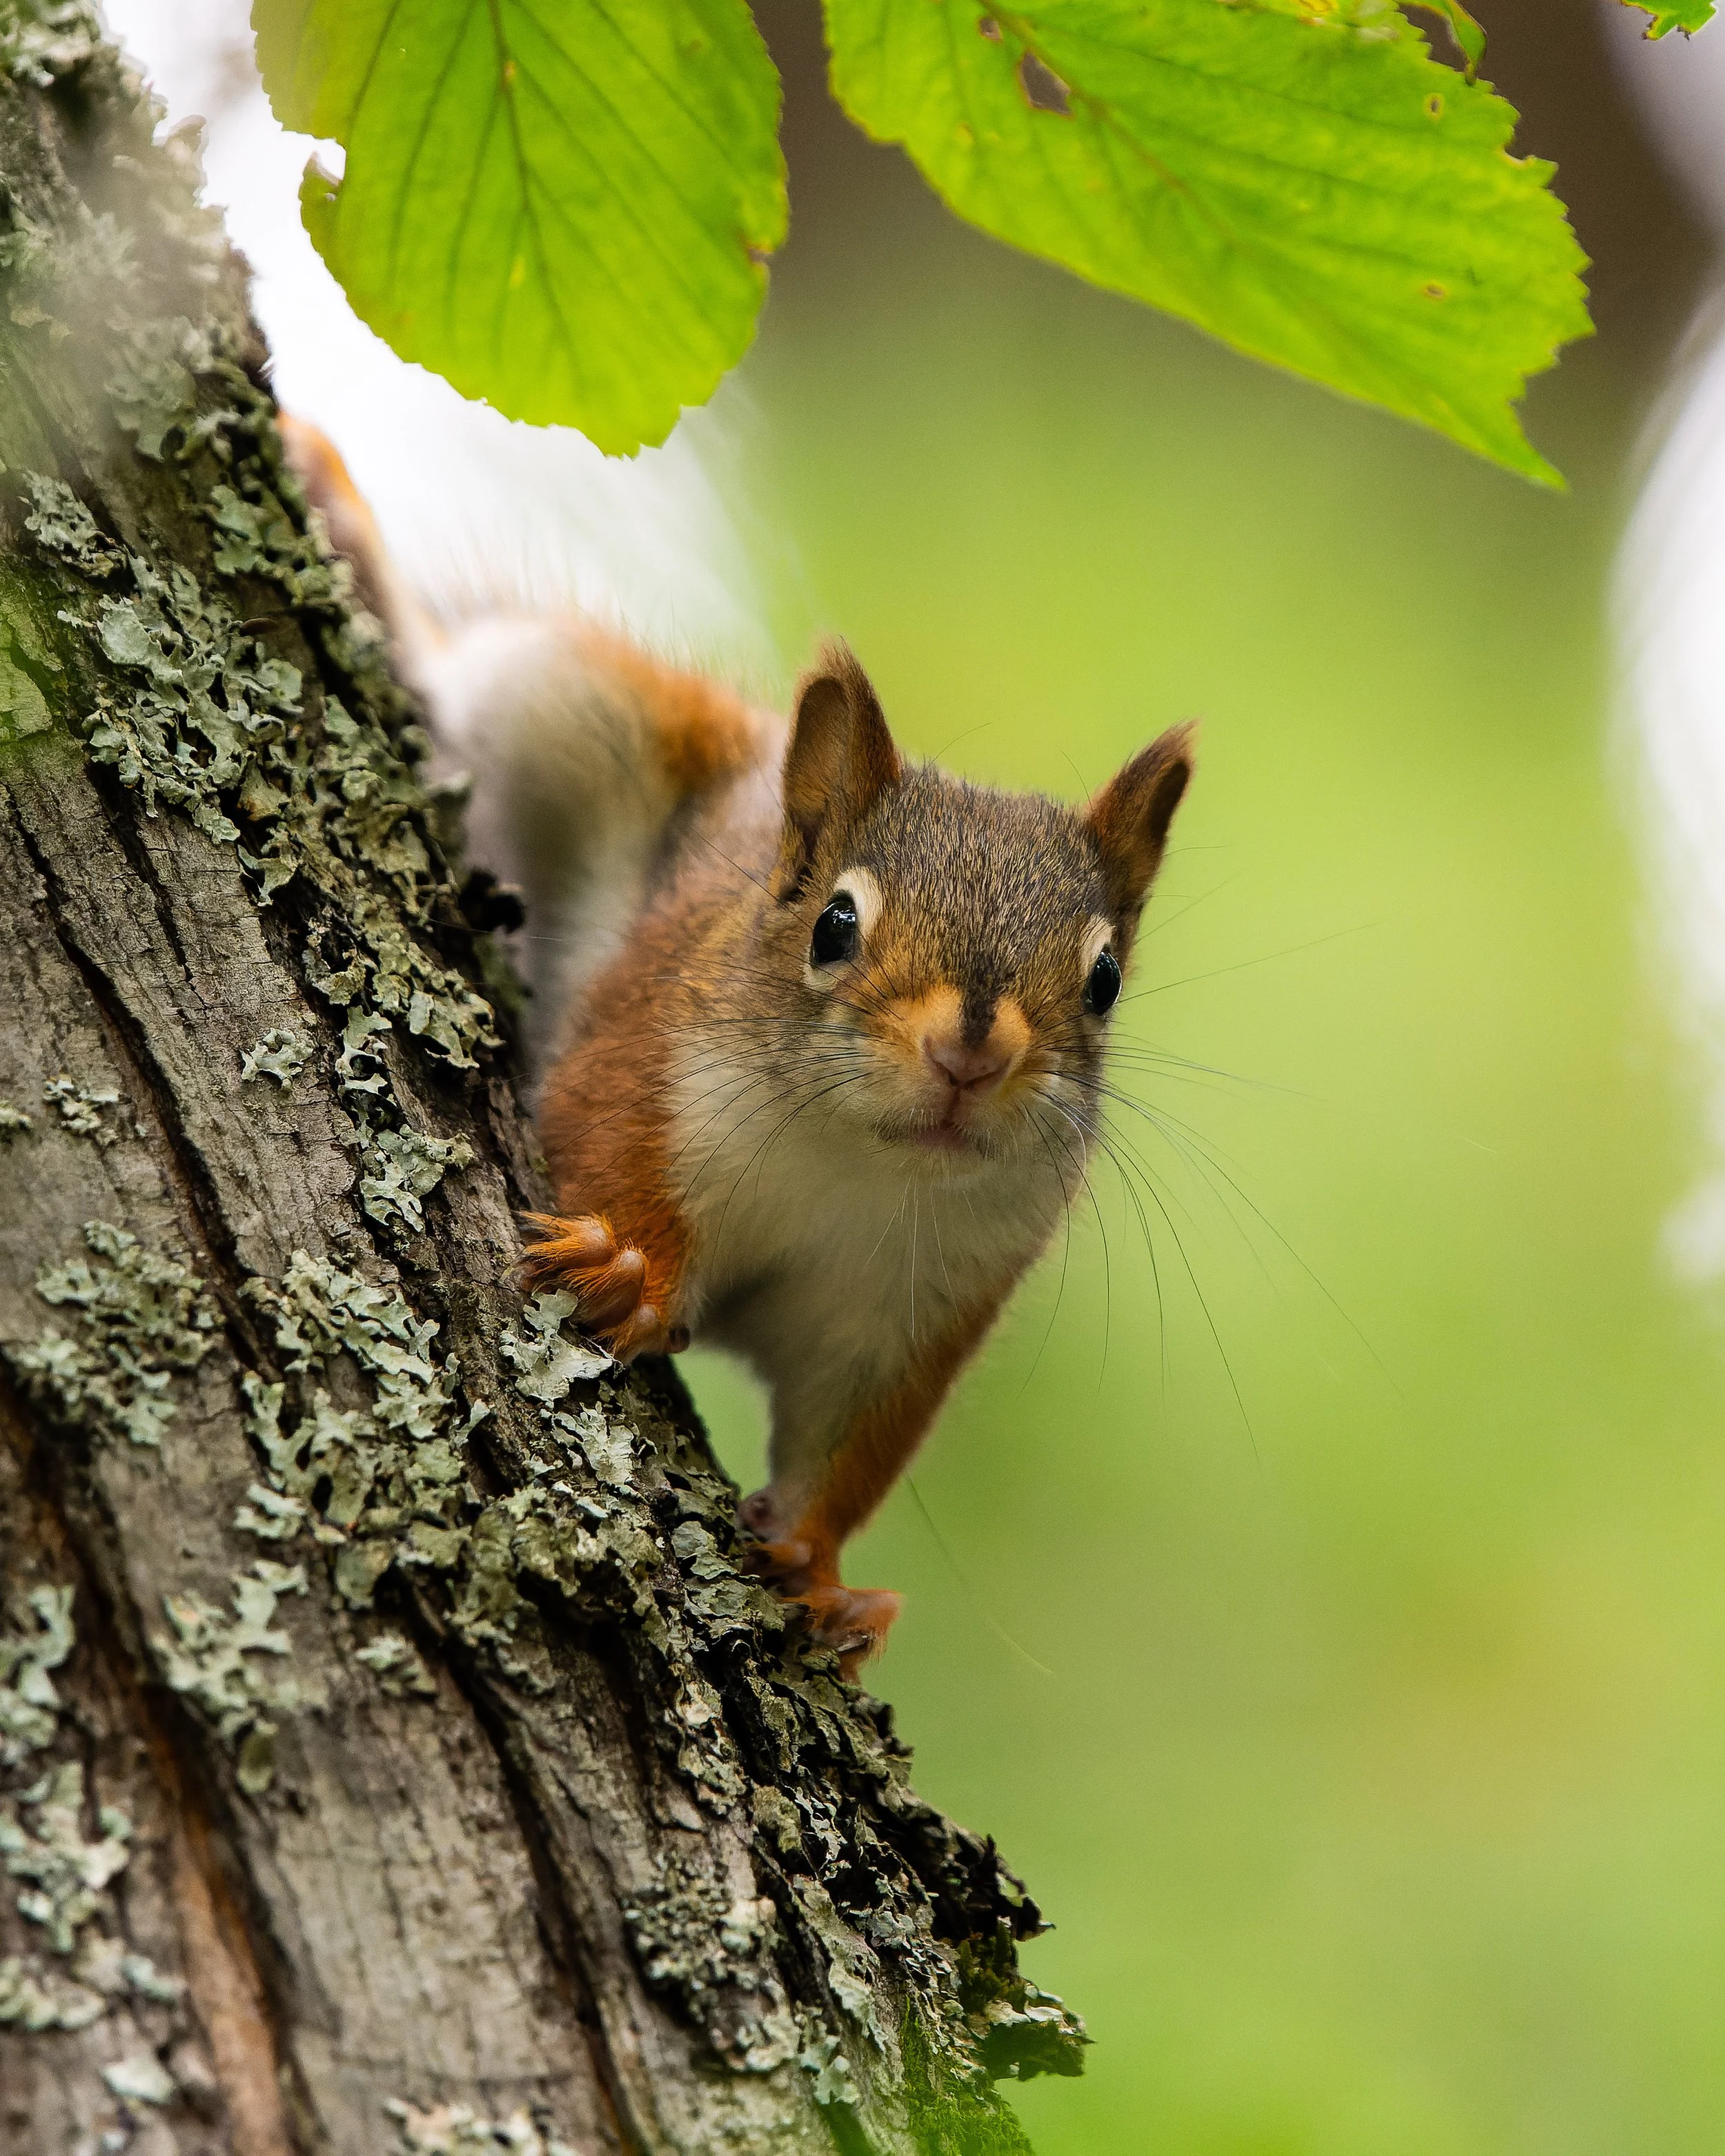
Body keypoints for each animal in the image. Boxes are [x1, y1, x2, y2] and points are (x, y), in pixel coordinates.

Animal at [281, 417, 1194, 1672]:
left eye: (1103, 982)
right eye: (835, 926)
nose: (971, 1055)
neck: (856, 1163)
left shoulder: (918, 1304)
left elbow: (849, 1439)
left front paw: (819, 1570)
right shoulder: (652, 1046)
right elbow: (603, 1135)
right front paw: (627, 1266)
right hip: (575, 710)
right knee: (448, 668)